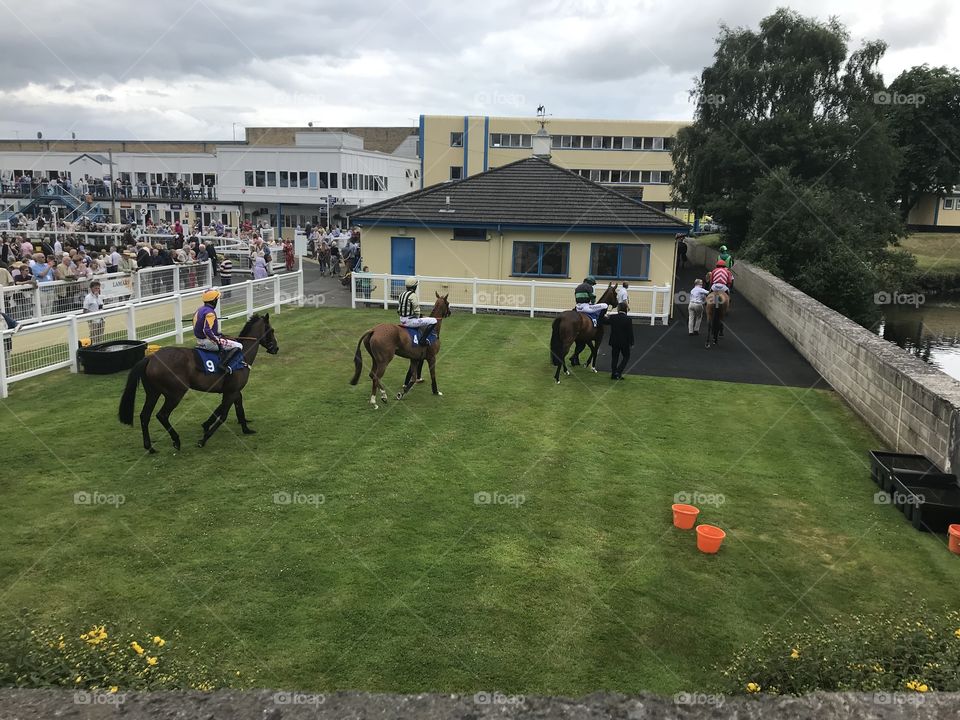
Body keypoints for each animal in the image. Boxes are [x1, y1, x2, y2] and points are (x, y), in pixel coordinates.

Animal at [118, 314, 280, 450]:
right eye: (272, 330)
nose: (276, 348)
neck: (241, 356)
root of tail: (151, 358)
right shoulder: (231, 391)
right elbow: (223, 415)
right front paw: (204, 439)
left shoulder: (233, 390)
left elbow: (235, 408)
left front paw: (245, 428)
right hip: (175, 394)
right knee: (162, 415)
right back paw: (176, 440)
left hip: (153, 393)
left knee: (144, 416)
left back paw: (149, 447)